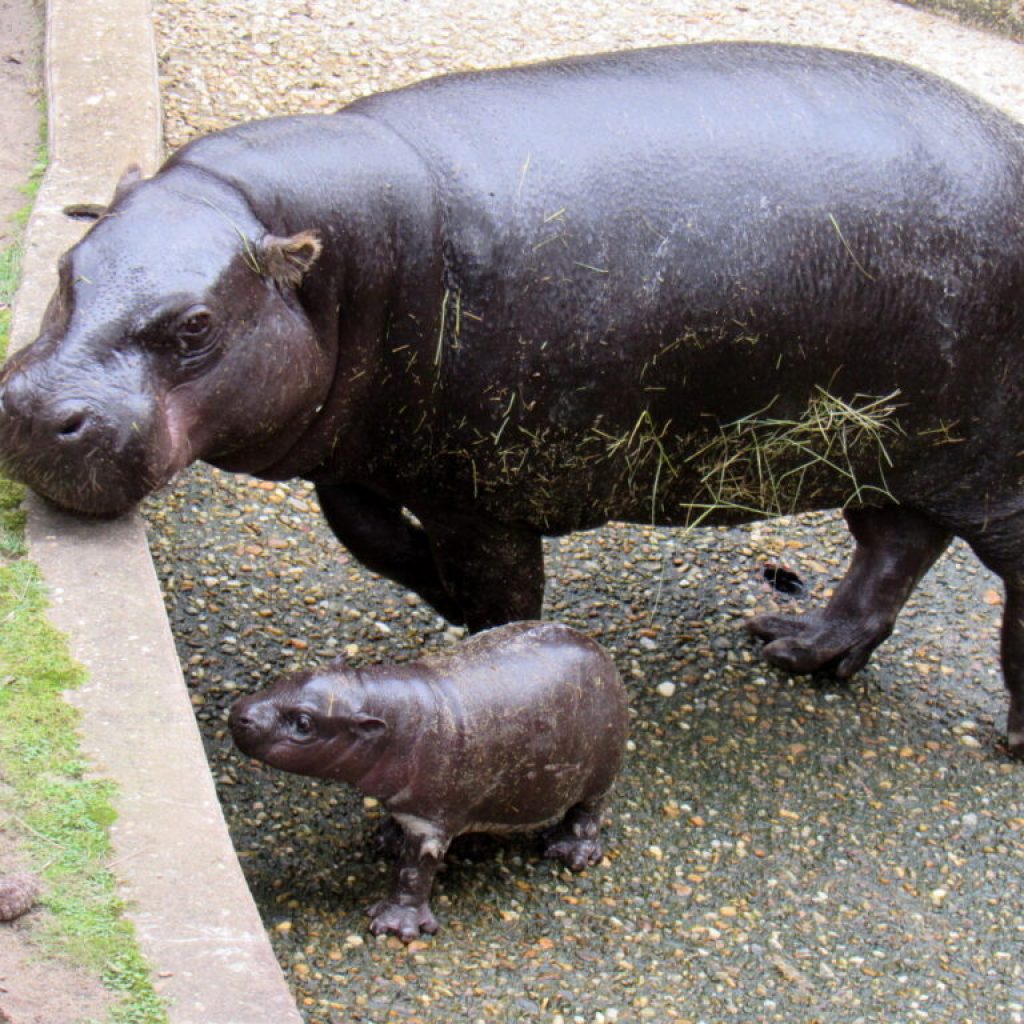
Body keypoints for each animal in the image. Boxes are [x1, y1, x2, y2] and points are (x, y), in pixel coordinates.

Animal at [1, 42, 1024, 750]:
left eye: (195, 326)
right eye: (67, 264)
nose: (33, 408)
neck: (331, 259)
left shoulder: (483, 492)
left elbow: (505, 595)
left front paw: (494, 658)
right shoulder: (370, 453)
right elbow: (363, 533)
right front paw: (437, 594)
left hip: (989, 473)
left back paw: (1008, 736)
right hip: (889, 450)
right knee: (894, 546)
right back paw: (796, 644)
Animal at [228, 621, 629, 941]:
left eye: (304, 723)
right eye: (288, 677)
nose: (240, 713)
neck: (390, 715)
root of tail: (600, 650)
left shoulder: (430, 824)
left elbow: (413, 873)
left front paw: (394, 926)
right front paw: (387, 839)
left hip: (601, 772)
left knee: (589, 811)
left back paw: (569, 852)